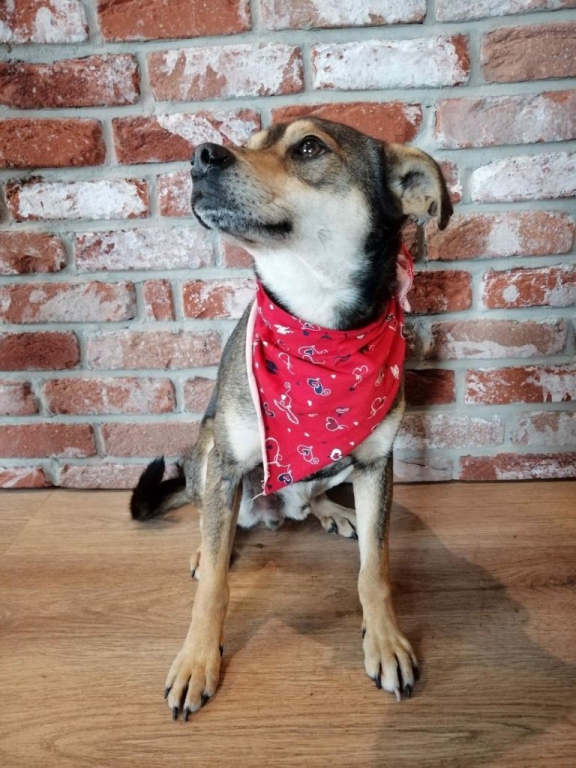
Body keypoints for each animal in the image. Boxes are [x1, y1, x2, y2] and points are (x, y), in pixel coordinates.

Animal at [130, 117, 452, 720]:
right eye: (249, 142)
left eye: (308, 147)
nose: (200, 157)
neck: (318, 316)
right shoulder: (228, 462)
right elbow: (213, 587)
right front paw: (197, 660)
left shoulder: (376, 464)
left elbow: (375, 569)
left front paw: (385, 641)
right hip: (206, 450)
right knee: (210, 517)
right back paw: (212, 542)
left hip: (338, 468)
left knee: (314, 495)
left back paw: (332, 512)